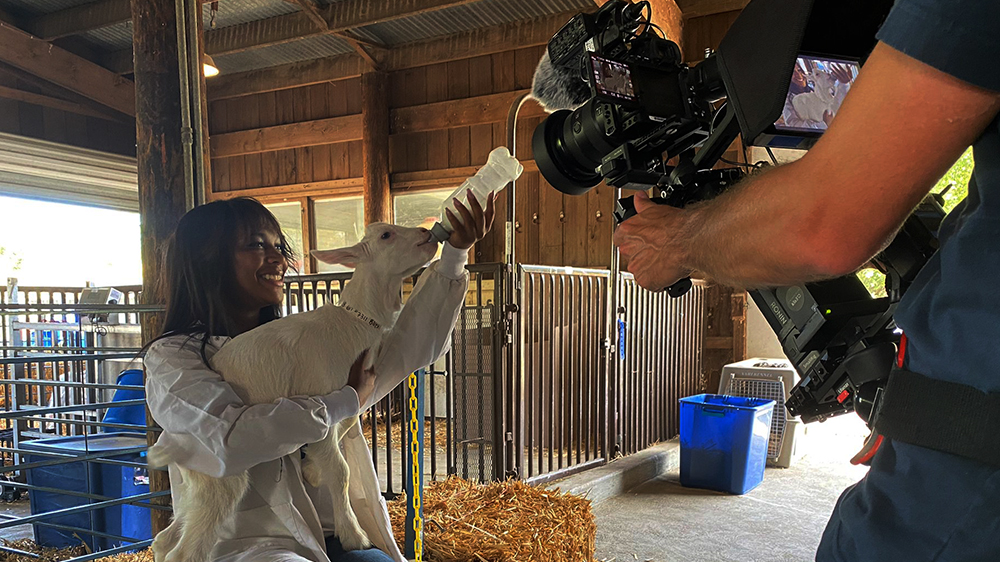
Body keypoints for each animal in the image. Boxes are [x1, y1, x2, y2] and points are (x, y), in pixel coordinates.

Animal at [149, 222, 442, 560]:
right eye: (386, 236)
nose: (426, 233)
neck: (353, 325)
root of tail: (170, 442)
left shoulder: (350, 400)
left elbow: (343, 429)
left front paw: (311, 470)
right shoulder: (322, 395)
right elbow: (340, 471)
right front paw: (353, 536)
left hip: (195, 489)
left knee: (166, 538)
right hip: (219, 478)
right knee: (185, 550)